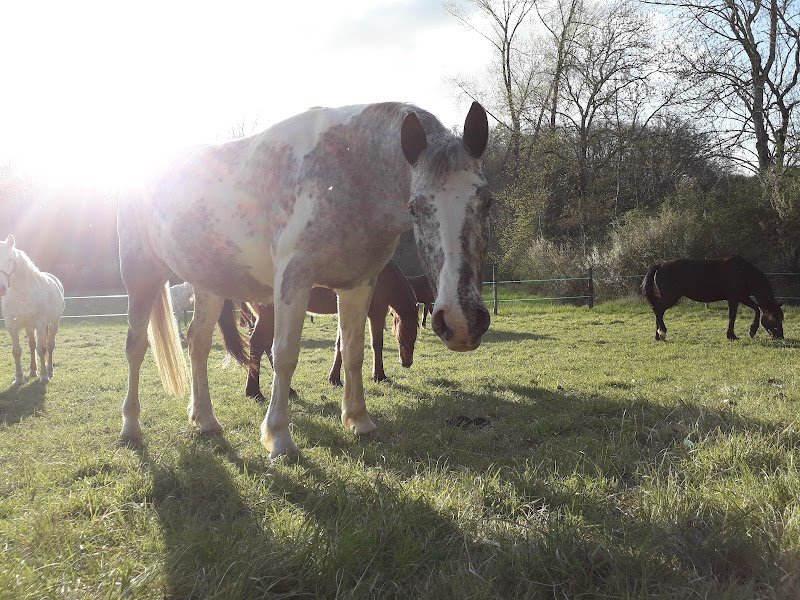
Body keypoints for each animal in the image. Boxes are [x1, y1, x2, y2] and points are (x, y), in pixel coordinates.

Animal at [0, 235, 65, 385]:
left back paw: (49, 371)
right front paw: (18, 378)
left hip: (54, 322)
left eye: (9, 259)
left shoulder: (41, 324)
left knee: (50, 345)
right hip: (29, 327)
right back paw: (32, 371)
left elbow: (41, 349)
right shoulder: (11, 325)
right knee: (31, 345)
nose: (1, 288)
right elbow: (16, 351)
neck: (22, 295)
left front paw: (44, 376)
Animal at [230, 260, 419, 401]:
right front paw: (379, 375)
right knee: (257, 343)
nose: (407, 363)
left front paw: (334, 378)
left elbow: (340, 344)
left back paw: (287, 390)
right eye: (408, 336)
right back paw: (254, 392)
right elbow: (377, 344)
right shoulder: (376, 311)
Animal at [642, 256, 784, 341]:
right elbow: (734, 316)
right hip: (671, 297)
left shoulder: (741, 297)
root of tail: (660, 265)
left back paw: (658, 336)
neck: (743, 272)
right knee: (657, 310)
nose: (780, 337)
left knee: (659, 312)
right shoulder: (735, 298)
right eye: (775, 318)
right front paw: (736, 335)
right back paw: (662, 332)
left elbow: (755, 309)